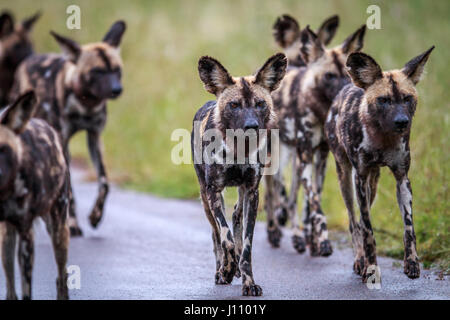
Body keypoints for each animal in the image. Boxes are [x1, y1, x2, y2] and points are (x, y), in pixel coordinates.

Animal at [0, 91, 69, 298]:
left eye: (3, 149)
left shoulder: (26, 232)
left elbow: (26, 291)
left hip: (58, 230)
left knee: (62, 276)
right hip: (7, 237)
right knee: (9, 283)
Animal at [11, 20, 126, 235]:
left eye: (117, 70)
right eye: (97, 71)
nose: (117, 90)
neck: (86, 103)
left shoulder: (94, 136)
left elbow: (104, 182)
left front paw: (96, 216)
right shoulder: (63, 141)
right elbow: (70, 190)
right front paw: (72, 223)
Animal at [192, 53, 286, 296]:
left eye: (260, 104)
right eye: (234, 105)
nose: (252, 126)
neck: (238, 148)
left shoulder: (252, 191)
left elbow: (246, 246)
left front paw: (248, 282)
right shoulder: (213, 191)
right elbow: (226, 239)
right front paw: (227, 269)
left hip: (242, 193)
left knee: (235, 215)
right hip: (205, 198)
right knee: (216, 235)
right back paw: (221, 270)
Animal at [264, 23, 366, 256]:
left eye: (348, 74)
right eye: (329, 76)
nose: (344, 92)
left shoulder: (321, 156)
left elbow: (313, 200)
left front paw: (315, 240)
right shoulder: (306, 155)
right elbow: (316, 203)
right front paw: (324, 239)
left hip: (294, 160)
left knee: (291, 198)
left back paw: (298, 237)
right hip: (278, 158)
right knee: (273, 194)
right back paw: (274, 231)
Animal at [326, 46, 434, 282]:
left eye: (407, 98)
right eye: (383, 100)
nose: (402, 122)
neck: (383, 138)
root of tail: (345, 85)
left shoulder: (402, 179)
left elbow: (409, 228)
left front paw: (412, 263)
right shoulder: (359, 177)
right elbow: (367, 230)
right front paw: (370, 267)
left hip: (373, 182)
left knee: (359, 218)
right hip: (346, 179)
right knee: (353, 221)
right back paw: (359, 260)